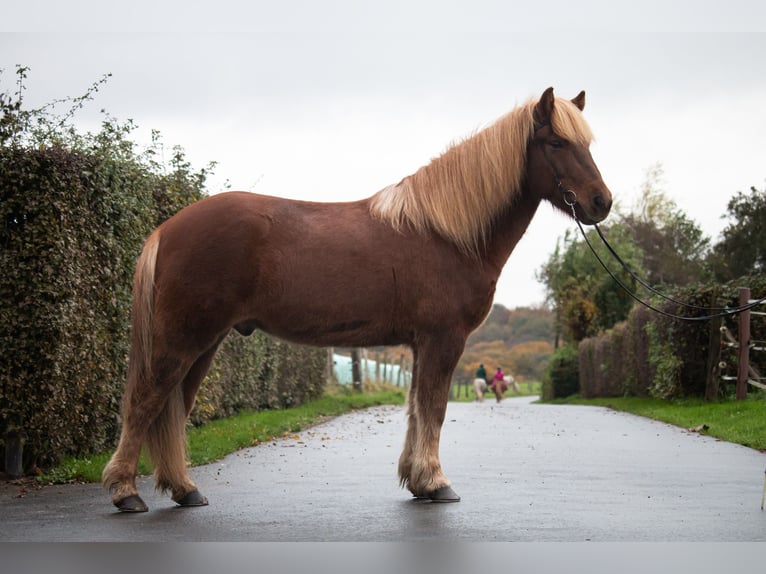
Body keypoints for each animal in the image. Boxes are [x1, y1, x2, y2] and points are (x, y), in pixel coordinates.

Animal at [102, 87, 612, 511]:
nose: (601, 202)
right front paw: (437, 483)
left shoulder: (420, 344)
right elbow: (434, 409)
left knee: (173, 408)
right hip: (183, 339)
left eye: (588, 145)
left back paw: (184, 489)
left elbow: (416, 409)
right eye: (557, 143)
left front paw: (417, 481)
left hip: (204, 343)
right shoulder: (444, 339)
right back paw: (126, 493)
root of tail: (167, 228)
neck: (448, 234)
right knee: (145, 402)